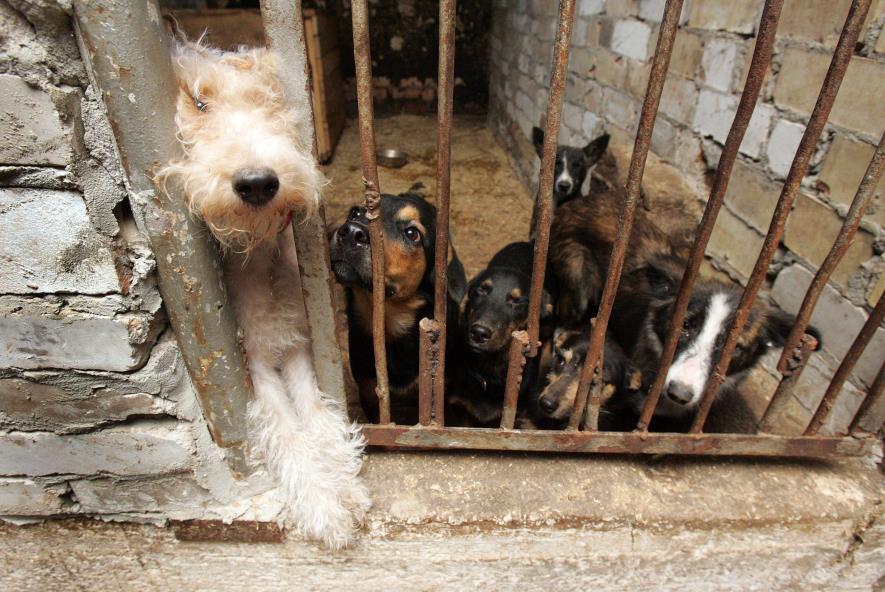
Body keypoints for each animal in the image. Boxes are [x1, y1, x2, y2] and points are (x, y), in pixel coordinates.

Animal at [157, 42, 368, 552]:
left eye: (269, 98)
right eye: (198, 103)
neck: (258, 255)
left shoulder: (299, 343)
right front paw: (324, 507)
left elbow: (317, 412)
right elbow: (288, 431)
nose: (257, 182)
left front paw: (346, 486)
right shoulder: (251, 362)